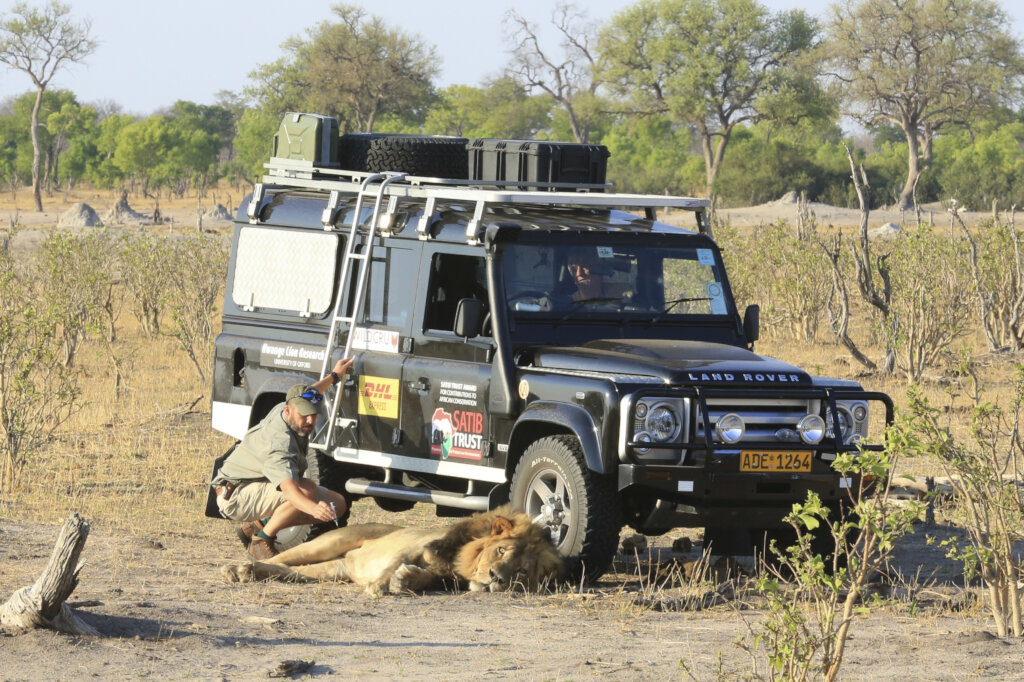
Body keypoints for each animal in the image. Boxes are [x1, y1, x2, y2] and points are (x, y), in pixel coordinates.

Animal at [221, 506, 563, 596]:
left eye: (521, 572)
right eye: (501, 550)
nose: (496, 578)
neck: (460, 562)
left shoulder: (442, 577)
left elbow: (422, 578)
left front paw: (405, 581)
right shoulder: (414, 547)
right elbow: (393, 566)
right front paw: (379, 587)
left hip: (329, 571)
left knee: (286, 571)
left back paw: (247, 573)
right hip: (329, 543)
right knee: (278, 558)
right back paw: (236, 568)